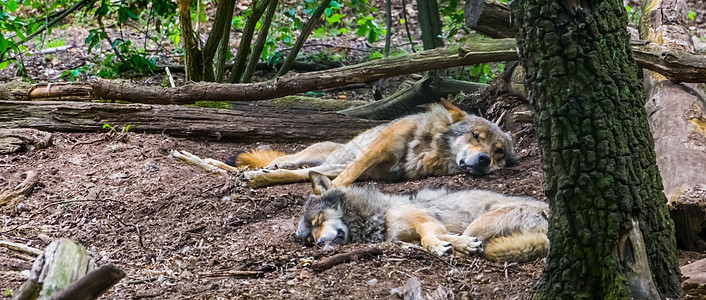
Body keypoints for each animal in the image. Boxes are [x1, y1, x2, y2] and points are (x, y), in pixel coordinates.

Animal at [234, 98, 516, 188]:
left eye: (499, 152)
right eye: (476, 136)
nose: (484, 160)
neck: (427, 148)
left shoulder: (375, 172)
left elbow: (345, 177)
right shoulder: (377, 148)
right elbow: (346, 178)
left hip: (327, 164)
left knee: (299, 173)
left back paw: (259, 177)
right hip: (307, 156)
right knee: (284, 161)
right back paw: (261, 169)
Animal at [294, 172, 548, 264]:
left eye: (318, 220)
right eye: (309, 239)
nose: (319, 242)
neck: (381, 214)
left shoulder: (426, 221)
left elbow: (430, 238)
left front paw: (443, 247)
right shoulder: (408, 235)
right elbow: (430, 240)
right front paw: (446, 246)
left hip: (479, 223)